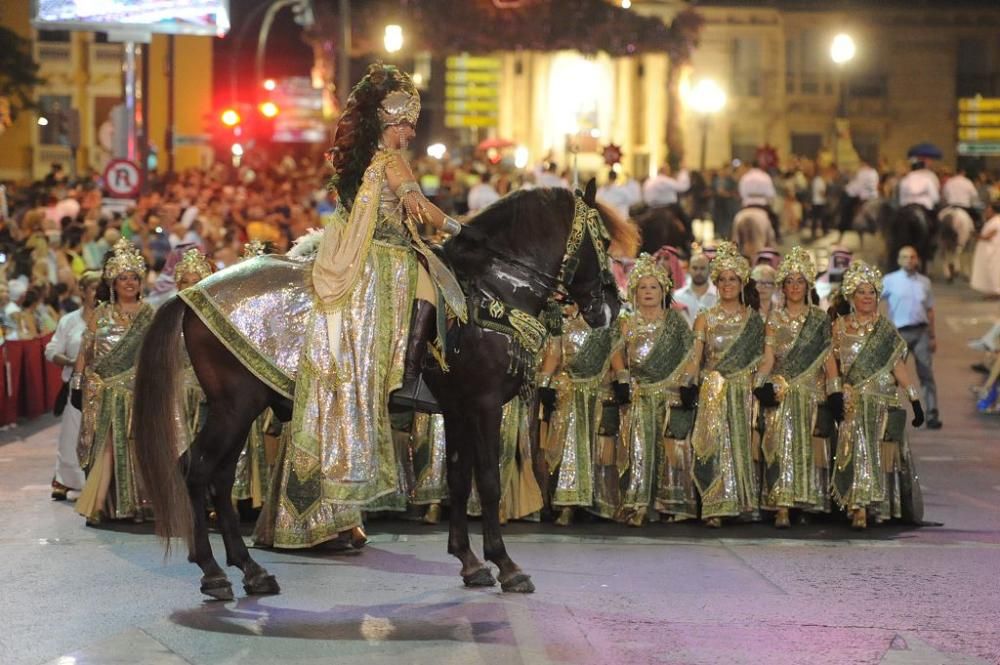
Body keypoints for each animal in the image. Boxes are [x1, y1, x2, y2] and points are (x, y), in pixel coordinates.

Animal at [130, 179, 620, 600]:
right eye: (605, 242)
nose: (612, 305)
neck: (493, 292)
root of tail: (189, 295)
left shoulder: (459, 409)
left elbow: (458, 481)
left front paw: (469, 561)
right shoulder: (483, 406)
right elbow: (488, 482)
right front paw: (507, 566)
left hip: (237, 407)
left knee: (214, 475)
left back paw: (249, 570)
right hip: (235, 406)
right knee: (197, 470)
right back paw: (214, 572)